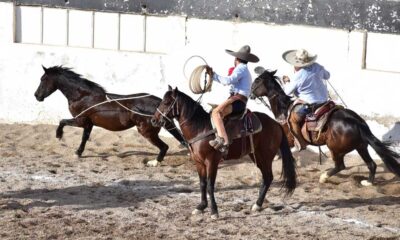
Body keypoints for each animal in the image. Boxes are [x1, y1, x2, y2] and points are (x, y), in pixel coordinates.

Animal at [33, 66, 187, 167]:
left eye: (43, 79)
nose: (37, 96)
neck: (82, 96)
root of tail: (158, 105)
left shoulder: (80, 120)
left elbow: (62, 121)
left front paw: (59, 135)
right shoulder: (88, 124)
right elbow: (84, 138)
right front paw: (78, 153)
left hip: (147, 132)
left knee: (164, 146)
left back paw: (154, 162)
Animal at [152, 86, 296, 218]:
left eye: (166, 102)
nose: (154, 120)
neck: (200, 128)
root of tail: (276, 124)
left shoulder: (211, 162)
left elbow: (210, 185)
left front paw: (214, 211)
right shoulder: (199, 162)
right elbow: (202, 184)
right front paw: (201, 207)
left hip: (265, 156)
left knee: (268, 177)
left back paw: (257, 204)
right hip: (256, 156)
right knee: (266, 178)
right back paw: (257, 205)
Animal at [250, 67, 400, 186]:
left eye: (257, 80)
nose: (250, 93)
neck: (284, 109)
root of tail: (357, 122)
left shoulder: (287, 140)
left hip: (335, 149)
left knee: (340, 166)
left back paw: (323, 177)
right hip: (361, 146)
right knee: (371, 164)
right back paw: (367, 182)